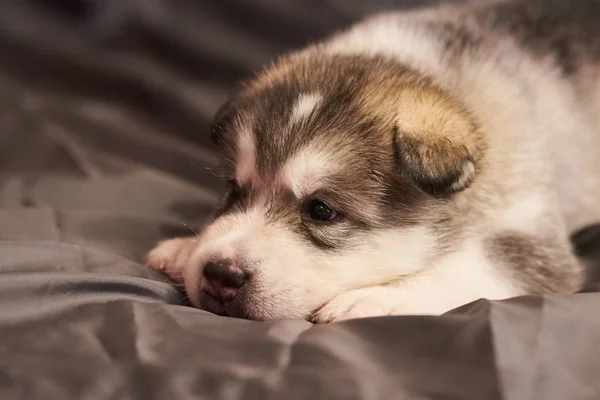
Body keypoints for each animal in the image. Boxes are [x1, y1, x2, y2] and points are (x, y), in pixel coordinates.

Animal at [148, 0, 600, 322]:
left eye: (322, 210)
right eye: (233, 189)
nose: (220, 274)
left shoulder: (528, 233)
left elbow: (471, 268)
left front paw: (377, 298)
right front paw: (184, 249)